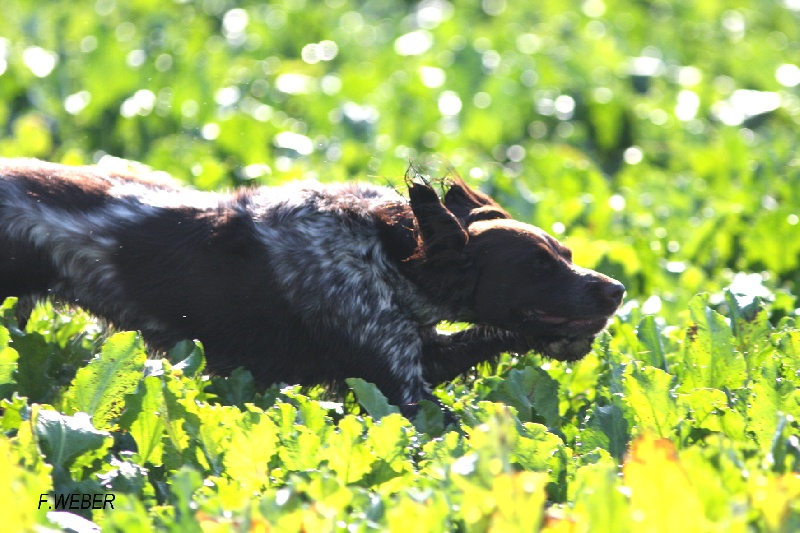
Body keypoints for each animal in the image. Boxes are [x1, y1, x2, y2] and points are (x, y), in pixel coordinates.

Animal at [0, 158, 624, 416]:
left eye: (567, 254)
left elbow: (485, 336)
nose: (616, 290)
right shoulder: (399, 385)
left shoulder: (412, 354)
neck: (390, 254)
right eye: (537, 266)